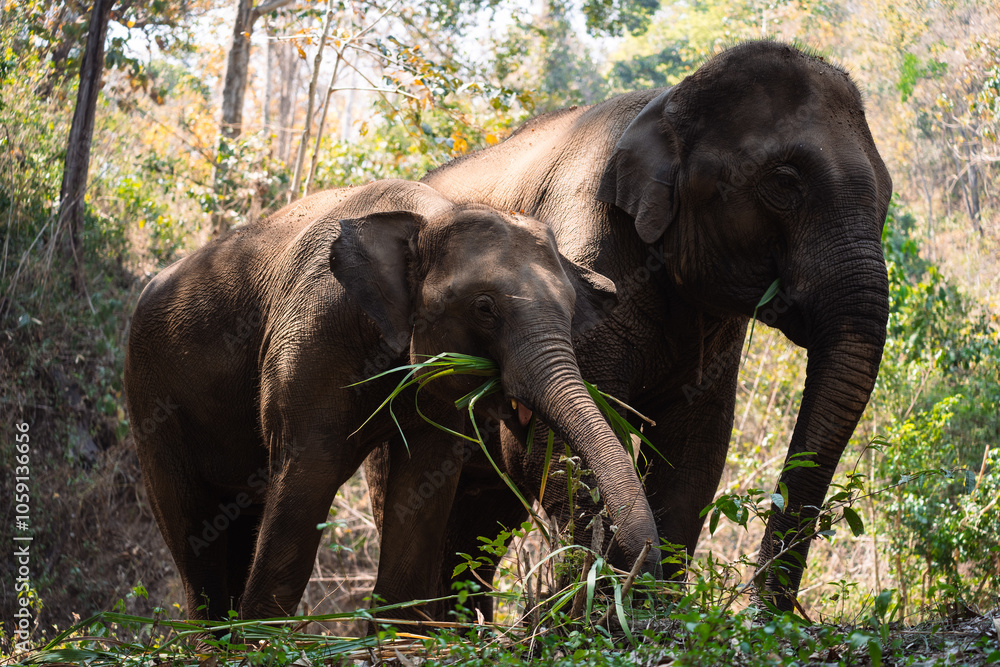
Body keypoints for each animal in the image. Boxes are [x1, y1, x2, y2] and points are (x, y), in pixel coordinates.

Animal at [123, 179, 660, 622]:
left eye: (570, 311)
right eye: (484, 308)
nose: (631, 581)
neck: (429, 215)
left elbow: (422, 484)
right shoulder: (310, 337)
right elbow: (308, 476)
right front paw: (263, 645)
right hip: (150, 398)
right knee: (194, 533)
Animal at [366, 40, 893, 616]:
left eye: (887, 196)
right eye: (784, 183)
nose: (761, 613)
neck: (667, 101)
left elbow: (694, 456)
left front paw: (642, 608)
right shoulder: (580, 254)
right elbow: (558, 456)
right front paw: (597, 614)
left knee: (481, 520)